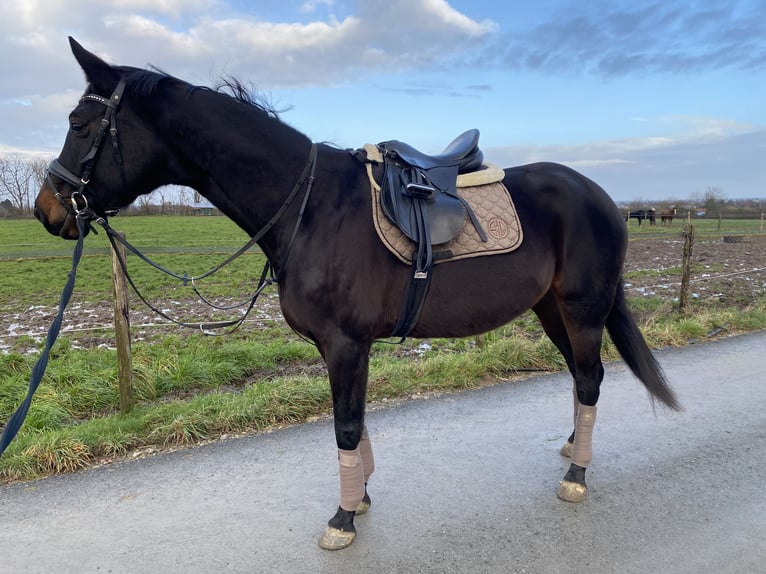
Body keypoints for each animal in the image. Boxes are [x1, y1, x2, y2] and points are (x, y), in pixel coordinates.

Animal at [33, 38, 680, 552]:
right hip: (552, 311)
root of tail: (601, 196)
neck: (312, 208)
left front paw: (342, 517)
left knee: (590, 378)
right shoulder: (342, 347)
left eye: (81, 125)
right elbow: (357, 420)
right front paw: (361, 496)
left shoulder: (346, 343)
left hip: (582, 310)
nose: (47, 211)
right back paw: (572, 449)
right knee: (581, 377)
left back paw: (577, 476)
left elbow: (345, 426)